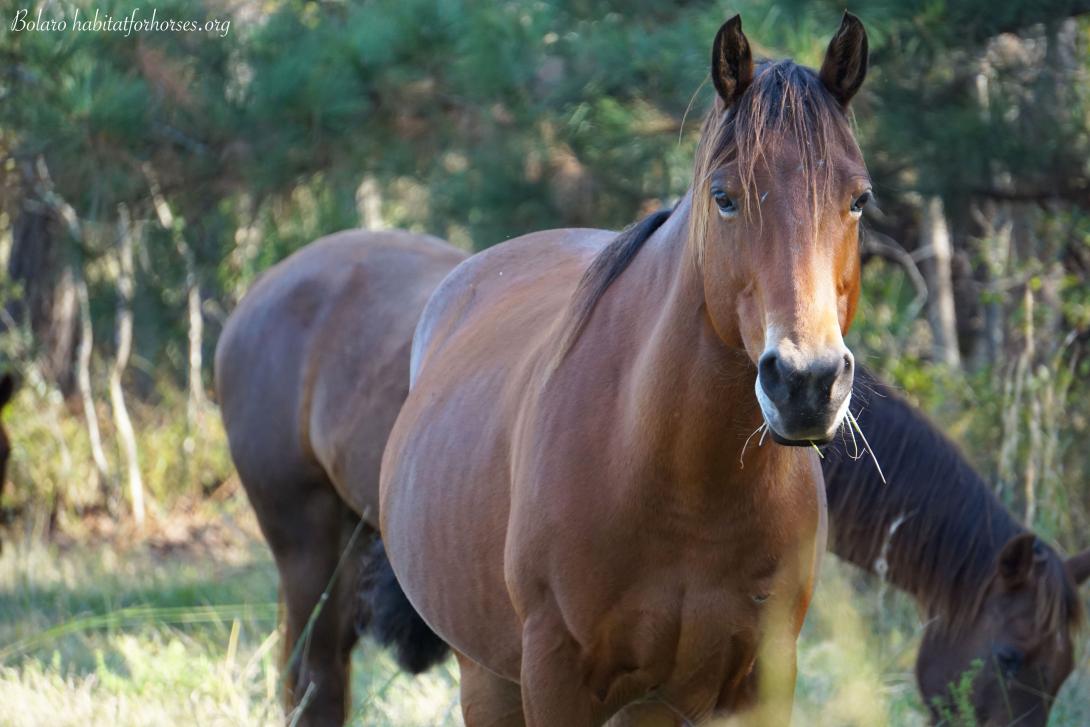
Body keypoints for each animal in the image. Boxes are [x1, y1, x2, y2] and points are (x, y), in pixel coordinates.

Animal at [379, 14, 872, 723]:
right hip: (487, 677)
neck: (685, 488)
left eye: (859, 199)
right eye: (724, 197)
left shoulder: (762, 682)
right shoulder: (556, 678)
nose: (807, 383)